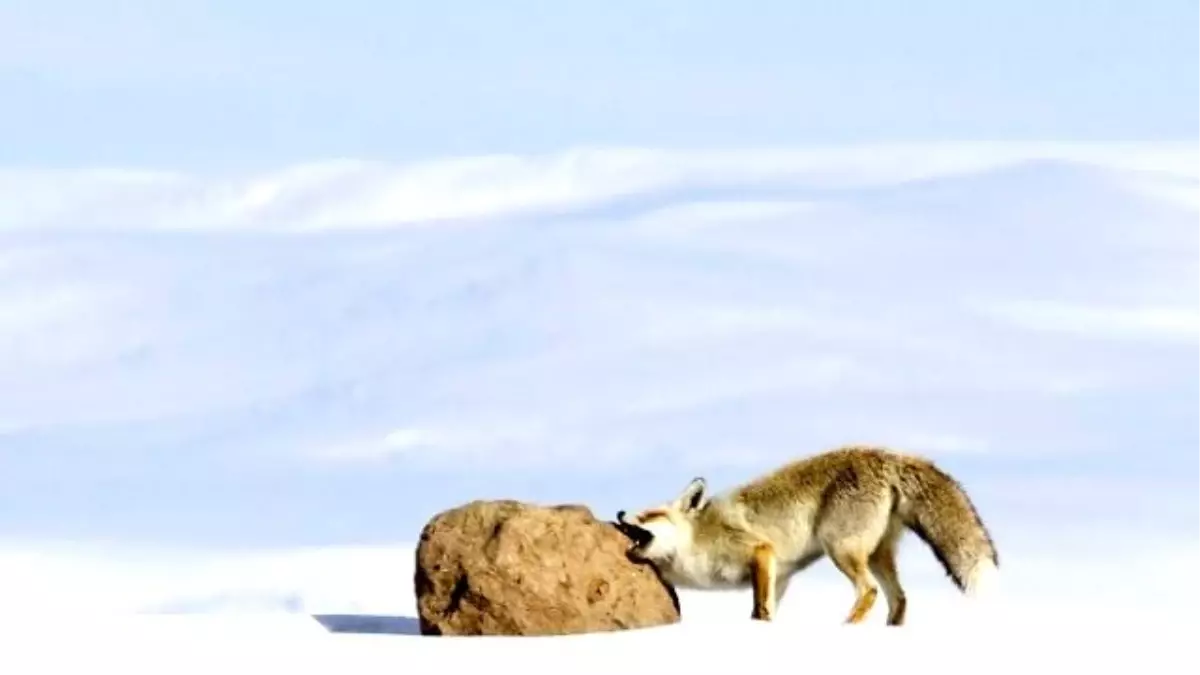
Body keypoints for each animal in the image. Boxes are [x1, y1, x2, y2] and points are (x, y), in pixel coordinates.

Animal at [614, 444, 998, 624]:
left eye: (649, 514)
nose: (618, 513)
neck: (697, 543)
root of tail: (886, 454)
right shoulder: (778, 576)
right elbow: (767, 611)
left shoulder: (760, 551)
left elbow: (759, 610)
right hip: (876, 555)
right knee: (899, 599)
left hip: (840, 548)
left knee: (869, 591)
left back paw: (845, 628)